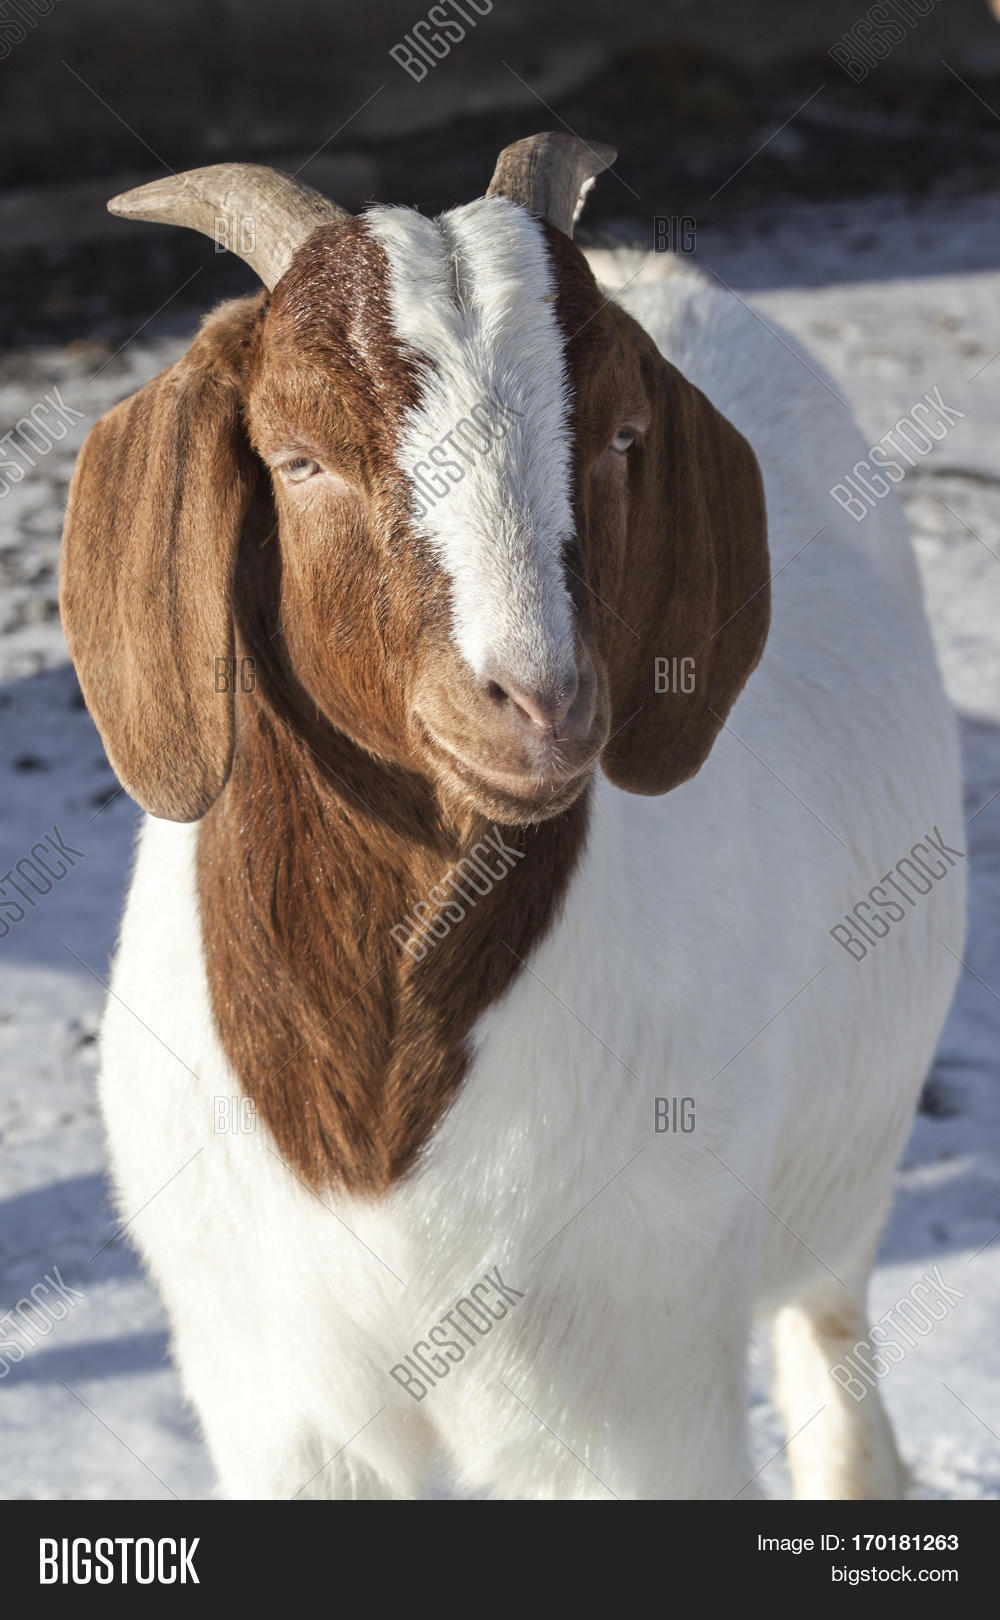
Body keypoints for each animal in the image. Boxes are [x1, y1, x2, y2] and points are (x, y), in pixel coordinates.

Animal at [60, 132, 966, 1500]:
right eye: (299, 455)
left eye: (623, 435)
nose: (537, 700)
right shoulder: (281, 1405)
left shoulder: (630, 1405)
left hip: (845, 1173)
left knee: (829, 1331)